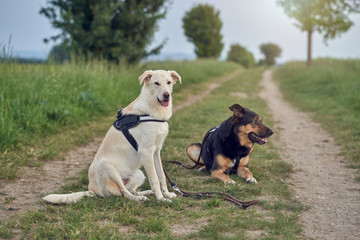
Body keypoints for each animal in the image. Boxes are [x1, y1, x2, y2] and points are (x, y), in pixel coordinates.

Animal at [43, 70, 181, 203]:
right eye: (156, 83)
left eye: (169, 82)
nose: (166, 95)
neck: (152, 112)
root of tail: (92, 190)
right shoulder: (146, 152)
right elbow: (155, 179)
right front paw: (161, 199)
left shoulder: (156, 151)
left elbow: (161, 176)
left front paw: (166, 194)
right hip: (105, 166)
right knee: (125, 193)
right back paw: (139, 199)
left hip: (139, 173)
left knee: (129, 190)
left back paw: (145, 193)